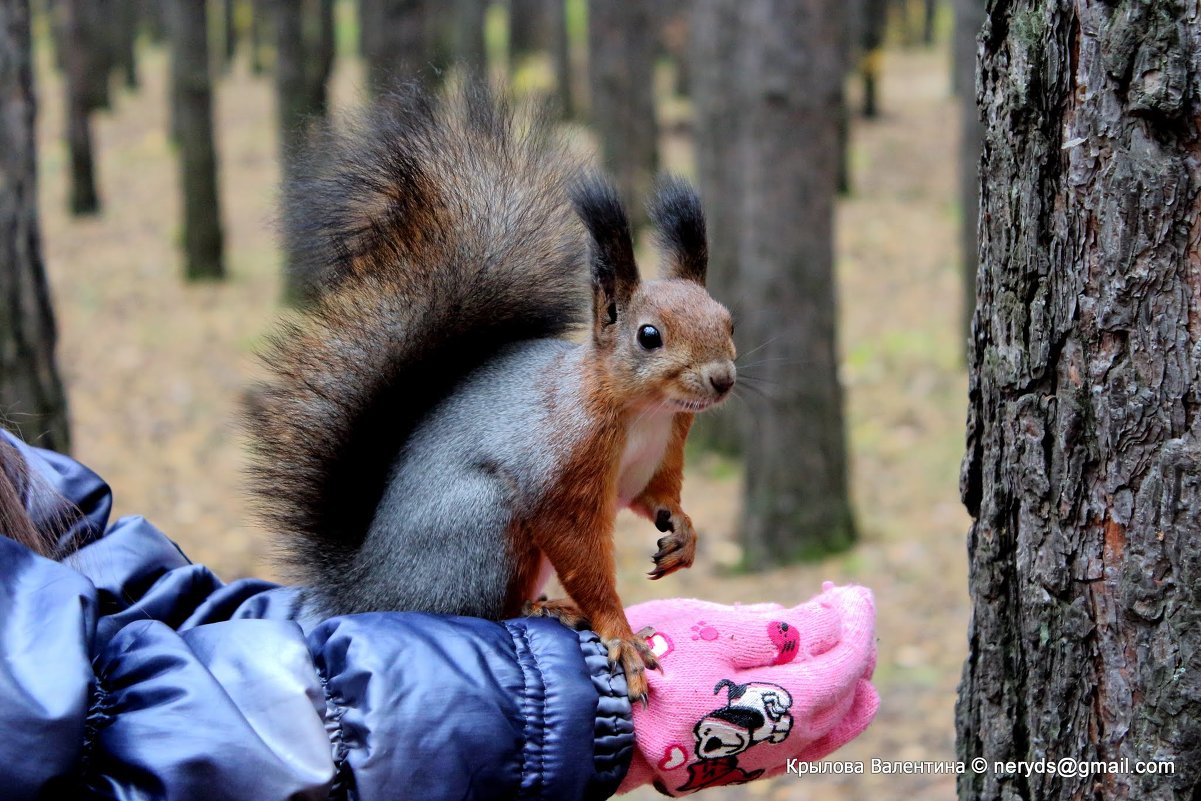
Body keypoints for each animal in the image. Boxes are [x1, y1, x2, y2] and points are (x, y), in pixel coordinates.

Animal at [245, 86, 735, 701]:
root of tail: (365, 592)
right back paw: (549, 610)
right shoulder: (562, 474)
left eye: (729, 320)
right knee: (487, 614)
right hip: (483, 529)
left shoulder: (665, 449)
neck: (645, 413)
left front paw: (684, 532)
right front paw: (620, 637)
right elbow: (582, 557)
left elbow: (656, 497)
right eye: (649, 336)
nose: (723, 379)